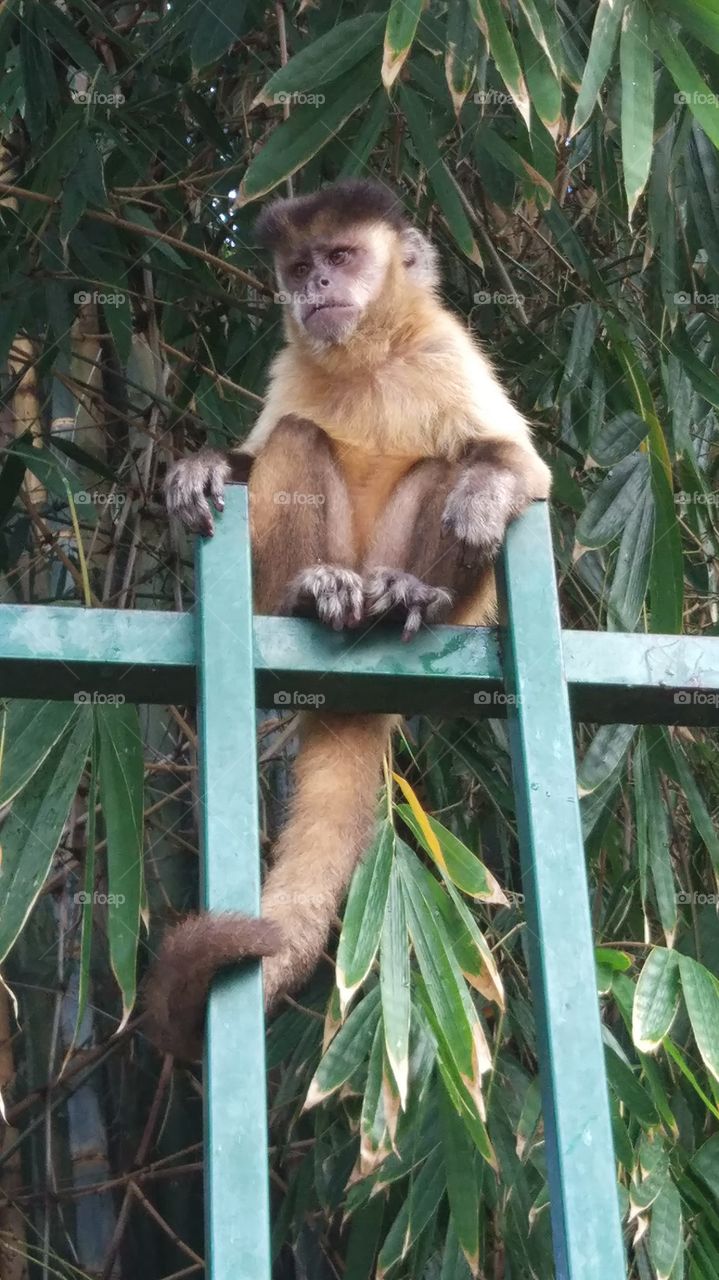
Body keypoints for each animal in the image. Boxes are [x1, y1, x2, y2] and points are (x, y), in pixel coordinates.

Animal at [145, 178, 551, 1060]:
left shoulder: (444, 349)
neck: (368, 354)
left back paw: (408, 598)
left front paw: (487, 493)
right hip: (274, 580)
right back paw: (316, 595)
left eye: (340, 255)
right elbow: (261, 452)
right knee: (298, 441)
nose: (318, 286)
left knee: (447, 463)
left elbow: (519, 469)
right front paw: (201, 468)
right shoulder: (288, 361)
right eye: (300, 266)